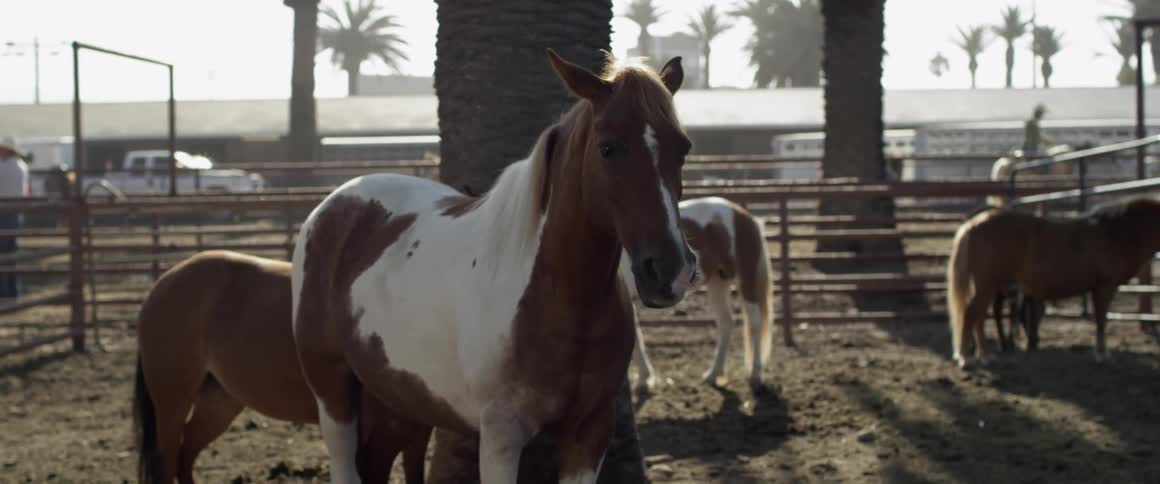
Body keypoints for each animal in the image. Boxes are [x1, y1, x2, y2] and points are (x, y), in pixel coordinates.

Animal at [131, 250, 429, 484]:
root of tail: (164, 281)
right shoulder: (378, 434)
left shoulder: (417, 430)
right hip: (172, 403)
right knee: (168, 461)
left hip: (218, 403)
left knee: (186, 454)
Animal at [290, 49, 700, 483]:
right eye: (608, 148)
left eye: (683, 148)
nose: (671, 271)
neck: (559, 298)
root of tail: (334, 203)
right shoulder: (501, 437)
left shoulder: (590, 432)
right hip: (332, 392)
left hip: (398, 397)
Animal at [622, 196, 789, 389]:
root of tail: (743, 214)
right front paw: (643, 379)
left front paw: (644, 380)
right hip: (718, 282)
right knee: (726, 323)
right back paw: (713, 373)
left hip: (747, 279)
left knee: (755, 324)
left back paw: (755, 375)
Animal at [946, 196, 1160, 368]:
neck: (1116, 231)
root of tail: (972, 224)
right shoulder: (1104, 287)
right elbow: (1101, 321)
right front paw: (1102, 355)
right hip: (987, 285)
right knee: (971, 314)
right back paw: (966, 358)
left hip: (989, 287)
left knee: (979, 317)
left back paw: (985, 356)